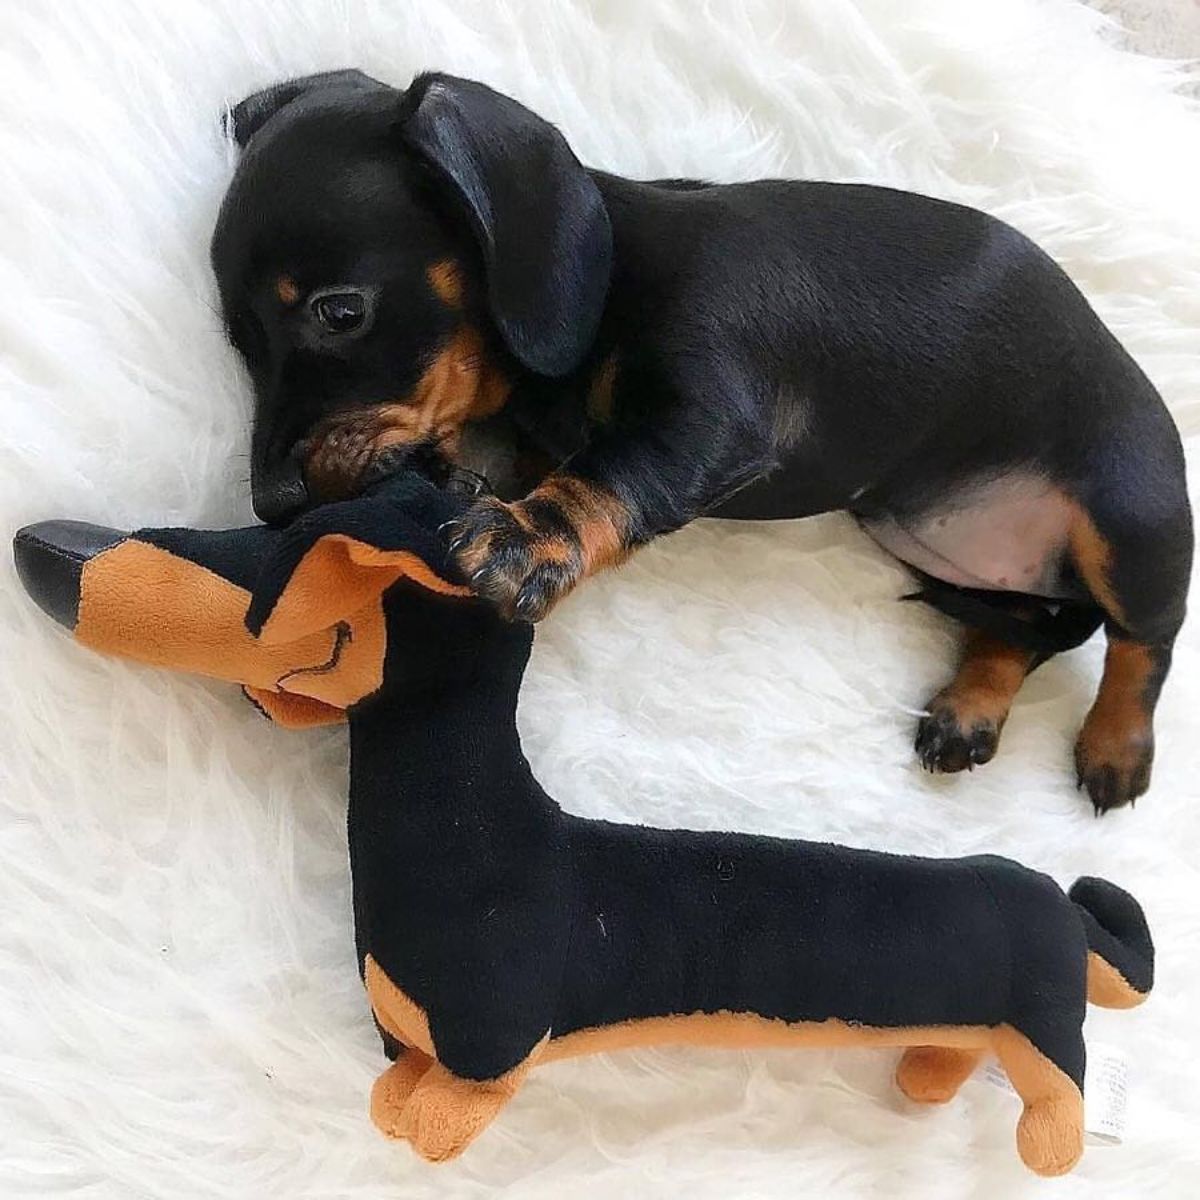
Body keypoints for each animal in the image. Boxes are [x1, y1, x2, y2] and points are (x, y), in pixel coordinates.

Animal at [213, 70, 1190, 811]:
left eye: (340, 311)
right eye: (239, 338)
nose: (273, 504)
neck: (607, 277)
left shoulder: (711, 414)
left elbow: (605, 475)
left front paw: (528, 537)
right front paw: (465, 481)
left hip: (1131, 520)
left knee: (1144, 640)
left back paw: (1117, 748)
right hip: (931, 545)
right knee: (1023, 630)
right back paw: (973, 708)